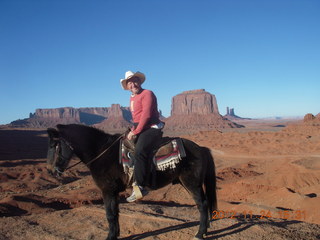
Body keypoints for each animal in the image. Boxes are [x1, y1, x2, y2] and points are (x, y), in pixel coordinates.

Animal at [46, 124, 218, 239]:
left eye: (55, 146)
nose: (54, 171)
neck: (101, 152)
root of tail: (201, 148)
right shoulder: (114, 192)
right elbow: (115, 213)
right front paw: (115, 234)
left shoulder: (107, 190)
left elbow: (109, 214)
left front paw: (110, 237)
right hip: (187, 183)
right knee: (203, 204)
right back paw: (205, 230)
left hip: (192, 183)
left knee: (202, 205)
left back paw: (199, 234)